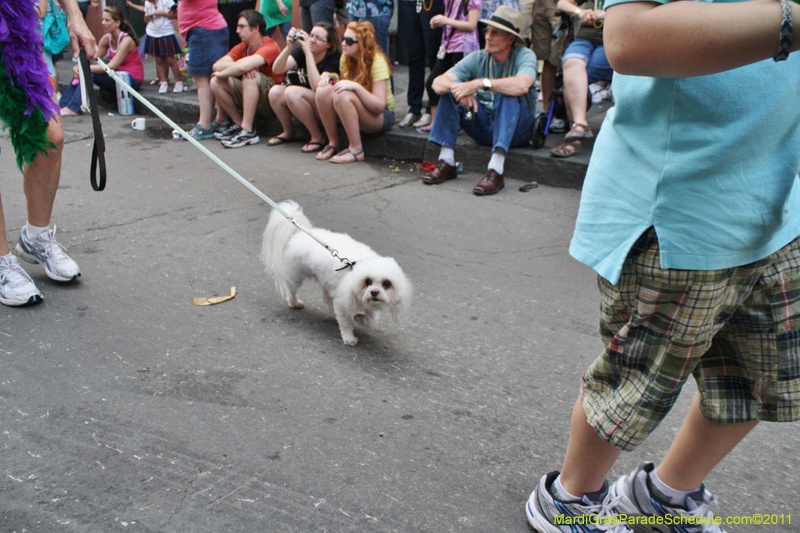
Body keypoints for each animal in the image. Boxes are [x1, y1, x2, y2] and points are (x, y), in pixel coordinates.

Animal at [260, 201, 412, 344]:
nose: (374, 292)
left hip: (327, 281)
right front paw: (349, 337)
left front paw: (362, 318)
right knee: (292, 291)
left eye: (387, 283)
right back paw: (294, 303)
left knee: (327, 298)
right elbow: (345, 323)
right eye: (367, 281)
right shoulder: (343, 300)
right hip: (295, 275)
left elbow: (371, 319)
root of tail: (299, 233)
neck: (354, 268)